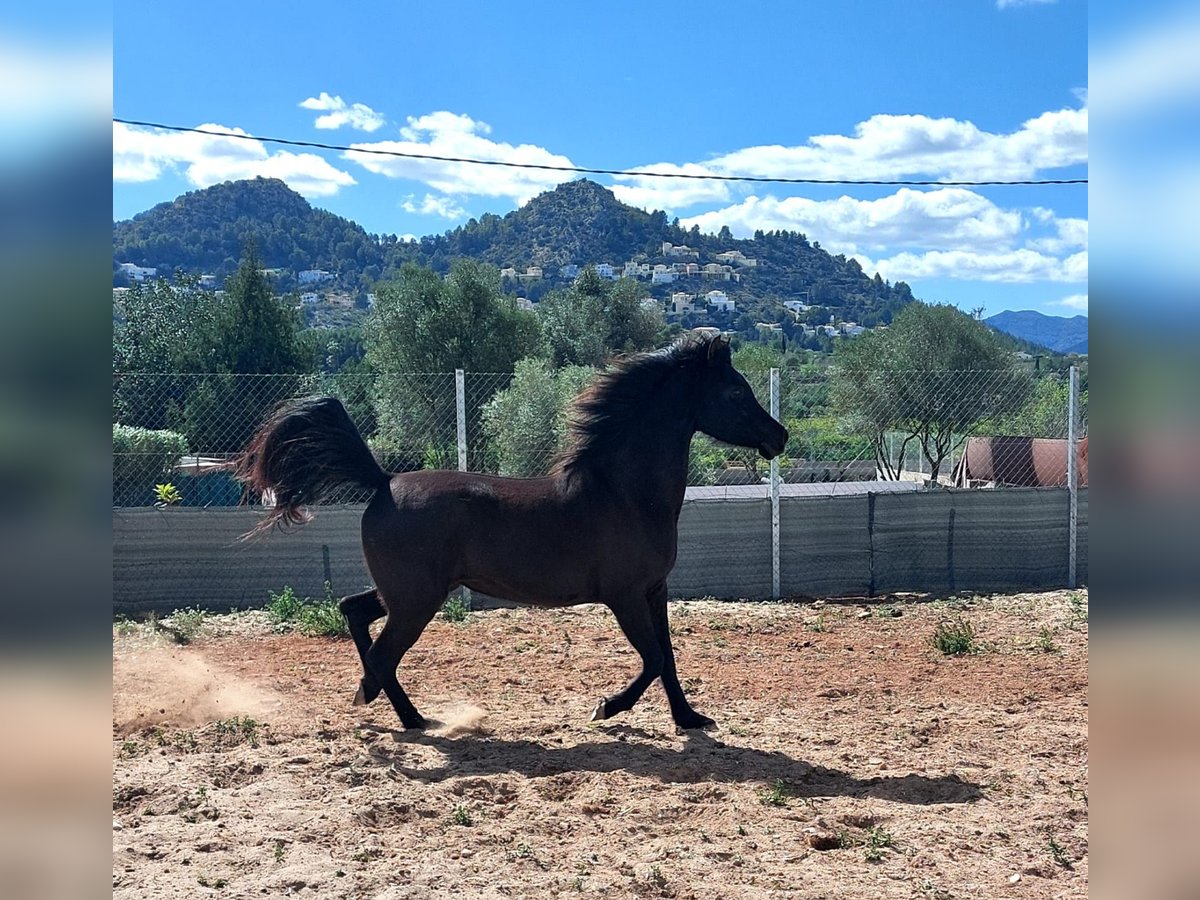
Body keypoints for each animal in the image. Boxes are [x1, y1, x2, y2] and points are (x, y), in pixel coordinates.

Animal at [236, 338, 787, 734]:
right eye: (736, 393)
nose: (778, 436)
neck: (625, 492)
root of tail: (383, 481)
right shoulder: (625, 595)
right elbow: (652, 658)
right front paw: (605, 708)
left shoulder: (655, 590)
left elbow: (668, 658)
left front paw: (689, 719)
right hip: (417, 600)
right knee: (381, 653)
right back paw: (397, 711)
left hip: (408, 593)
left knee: (355, 612)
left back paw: (400, 709)